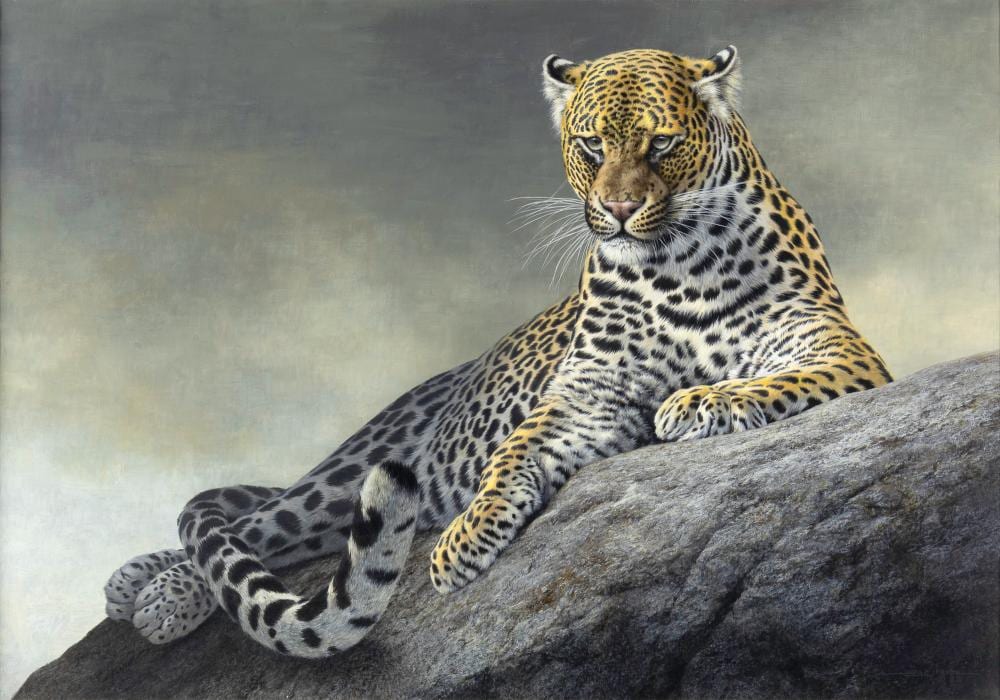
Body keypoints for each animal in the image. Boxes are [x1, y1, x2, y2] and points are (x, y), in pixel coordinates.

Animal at [105, 45, 891, 658]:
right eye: (591, 145)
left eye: (662, 144)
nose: (619, 210)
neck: (677, 265)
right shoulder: (588, 394)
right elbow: (515, 450)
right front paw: (467, 538)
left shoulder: (840, 351)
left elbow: (766, 383)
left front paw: (698, 402)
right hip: (350, 470)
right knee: (250, 523)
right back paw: (154, 591)